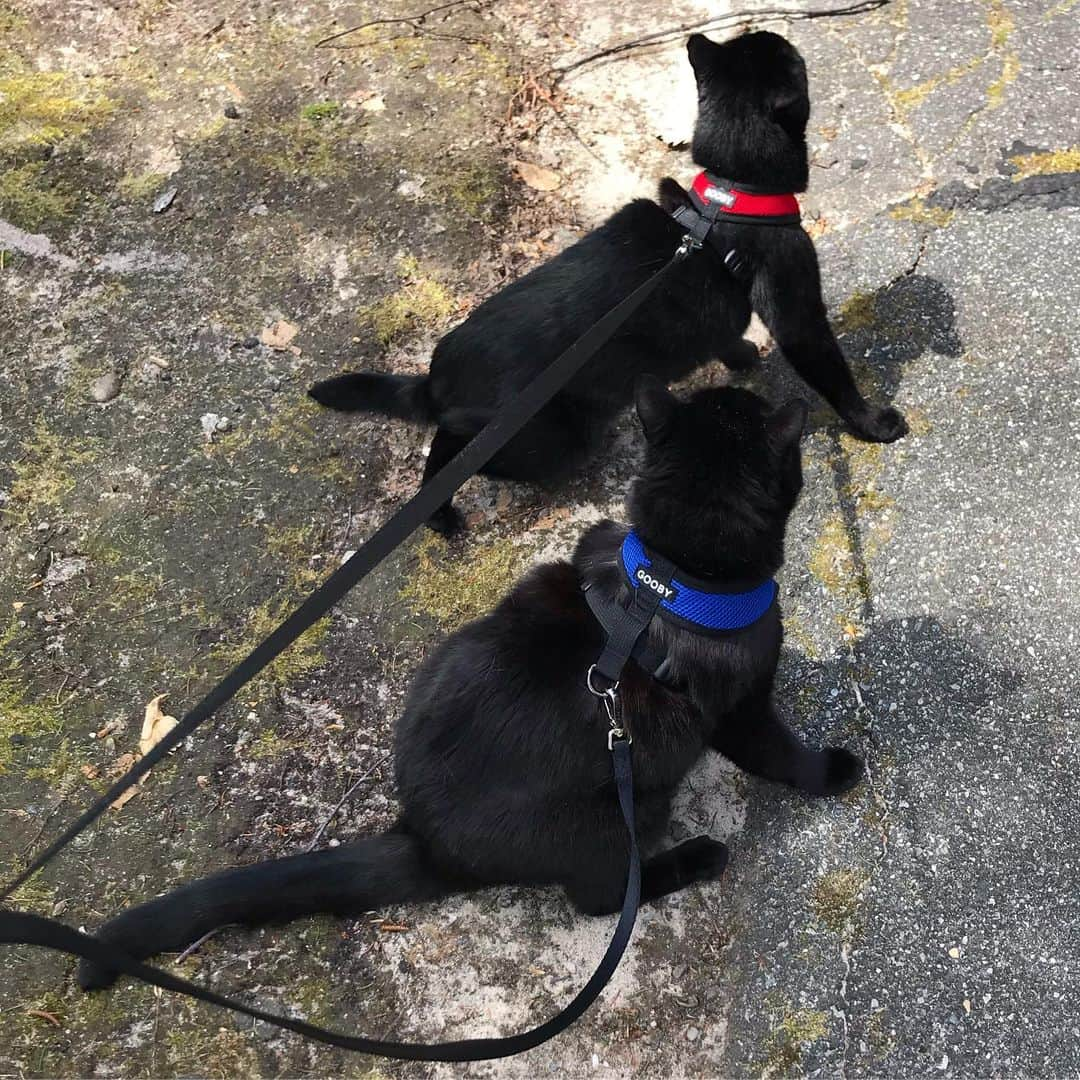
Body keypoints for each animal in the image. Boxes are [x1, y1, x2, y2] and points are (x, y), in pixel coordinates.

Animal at [78, 375, 859, 989]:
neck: (673, 575)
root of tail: (426, 840)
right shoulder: (739, 709)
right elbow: (779, 752)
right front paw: (832, 770)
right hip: (621, 810)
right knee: (603, 897)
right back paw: (695, 858)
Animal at [311, 33, 902, 535]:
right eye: (795, 60)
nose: (785, 36)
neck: (732, 194)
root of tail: (437, 378)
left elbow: (724, 336)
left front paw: (739, 356)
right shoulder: (796, 306)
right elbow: (831, 372)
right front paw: (874, 423)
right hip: (551, 441)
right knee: (450, 445)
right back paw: (440, 514)